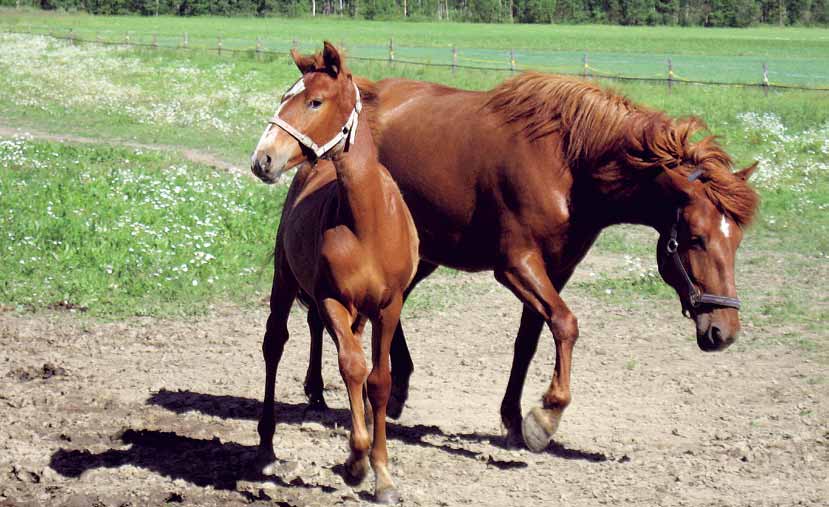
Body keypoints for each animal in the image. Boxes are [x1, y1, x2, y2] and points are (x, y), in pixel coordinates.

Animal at [249, 43, 418, 504]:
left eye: (315, 101)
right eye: (284, 96)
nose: (262, 159)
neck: (368, 222)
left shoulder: (388, 307)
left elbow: (379, 381)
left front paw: (382, 474)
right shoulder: (332, 299)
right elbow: (352, 368)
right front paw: (356, 462)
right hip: (285, 280)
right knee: (274, 344)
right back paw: (267, 445)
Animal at [251, 68, 756, 452]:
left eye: (735, 242)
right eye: (695, 238)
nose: (724, 331)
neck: (568, 164)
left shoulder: (556, 270)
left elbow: (530, 340)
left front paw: (514, 419)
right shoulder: (516, 267)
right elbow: (566, 324)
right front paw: (544, 417)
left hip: (423, 253)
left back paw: (384, 390)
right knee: (321, 314)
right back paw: (322, 388)